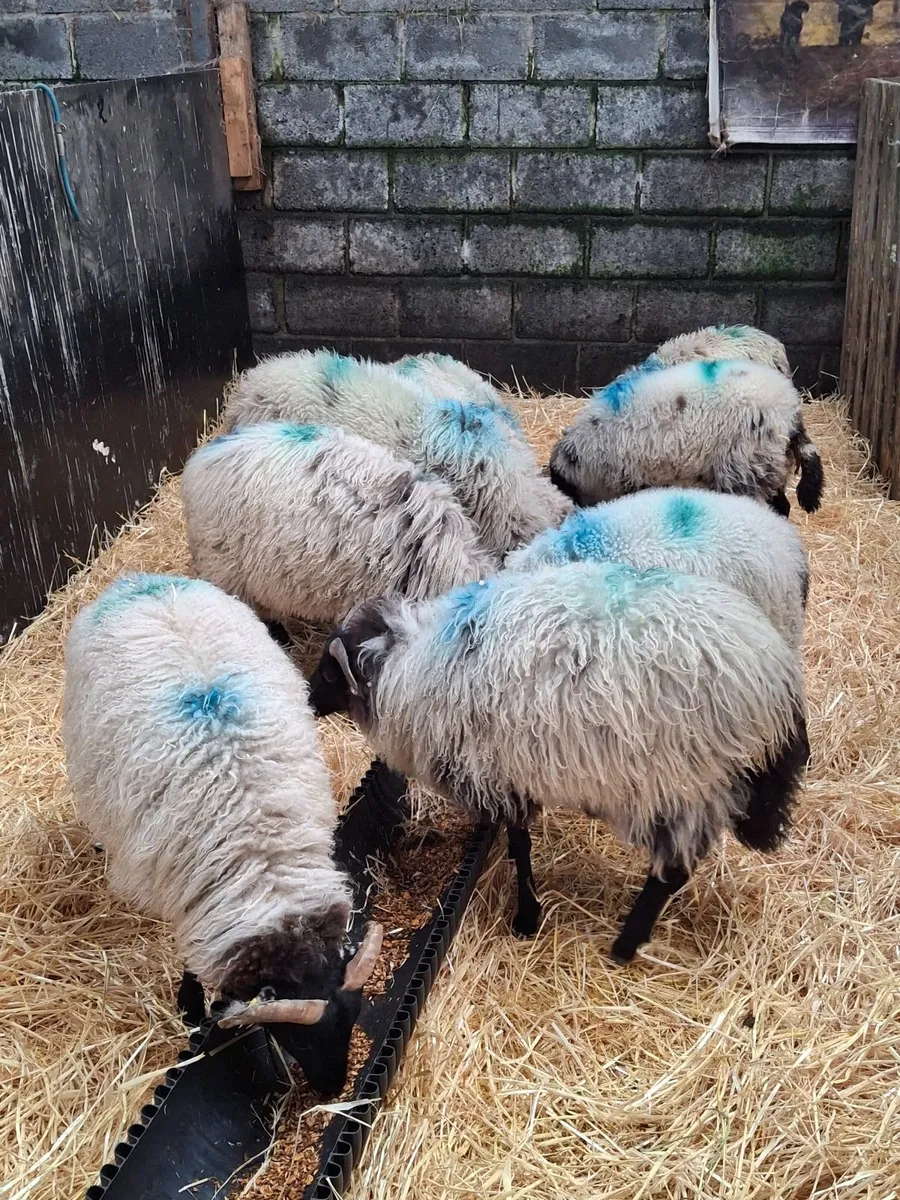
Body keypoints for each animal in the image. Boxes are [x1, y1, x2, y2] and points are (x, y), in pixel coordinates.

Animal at [63, 572, 382, 1096]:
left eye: (354, 1016)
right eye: (299, 1040)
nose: (333, 1091)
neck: (264, 858)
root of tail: (143, 581)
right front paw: (190, 1007)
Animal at [307, 562, 809, 962]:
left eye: (331, 671)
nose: (307, 700)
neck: (408, 667)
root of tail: (774, 676)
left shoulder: (497, 773)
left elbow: (519, 844)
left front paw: (527, 918)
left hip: (677, 782)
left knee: (672, 871)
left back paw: (625, 946)